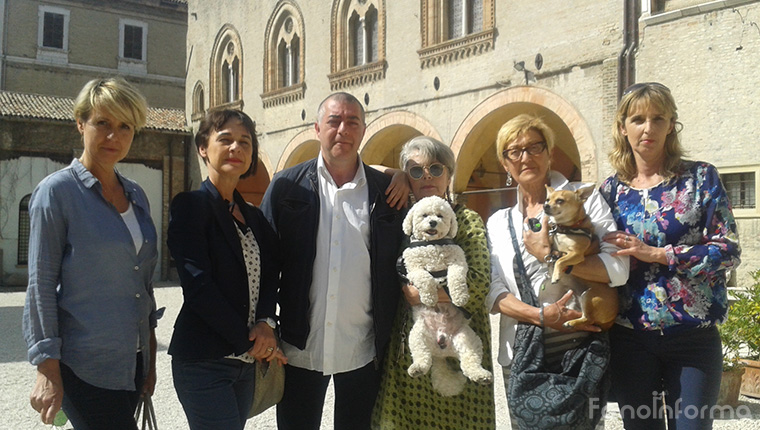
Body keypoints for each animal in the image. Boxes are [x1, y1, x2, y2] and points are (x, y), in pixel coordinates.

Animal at [404, 195, 492, 396]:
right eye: (424, 215)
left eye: (440, 215)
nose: (433, 222)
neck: (433, 244)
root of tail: (441, 351)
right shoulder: (412, 267)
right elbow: (424, 277)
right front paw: (429, 297)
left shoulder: (458, 261)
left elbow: (456, 277)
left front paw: (460, 297)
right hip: (418, 335)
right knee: (422, 357)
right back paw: (416, 369)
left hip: (467, 339)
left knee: (470, 362)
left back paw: (482, 376)